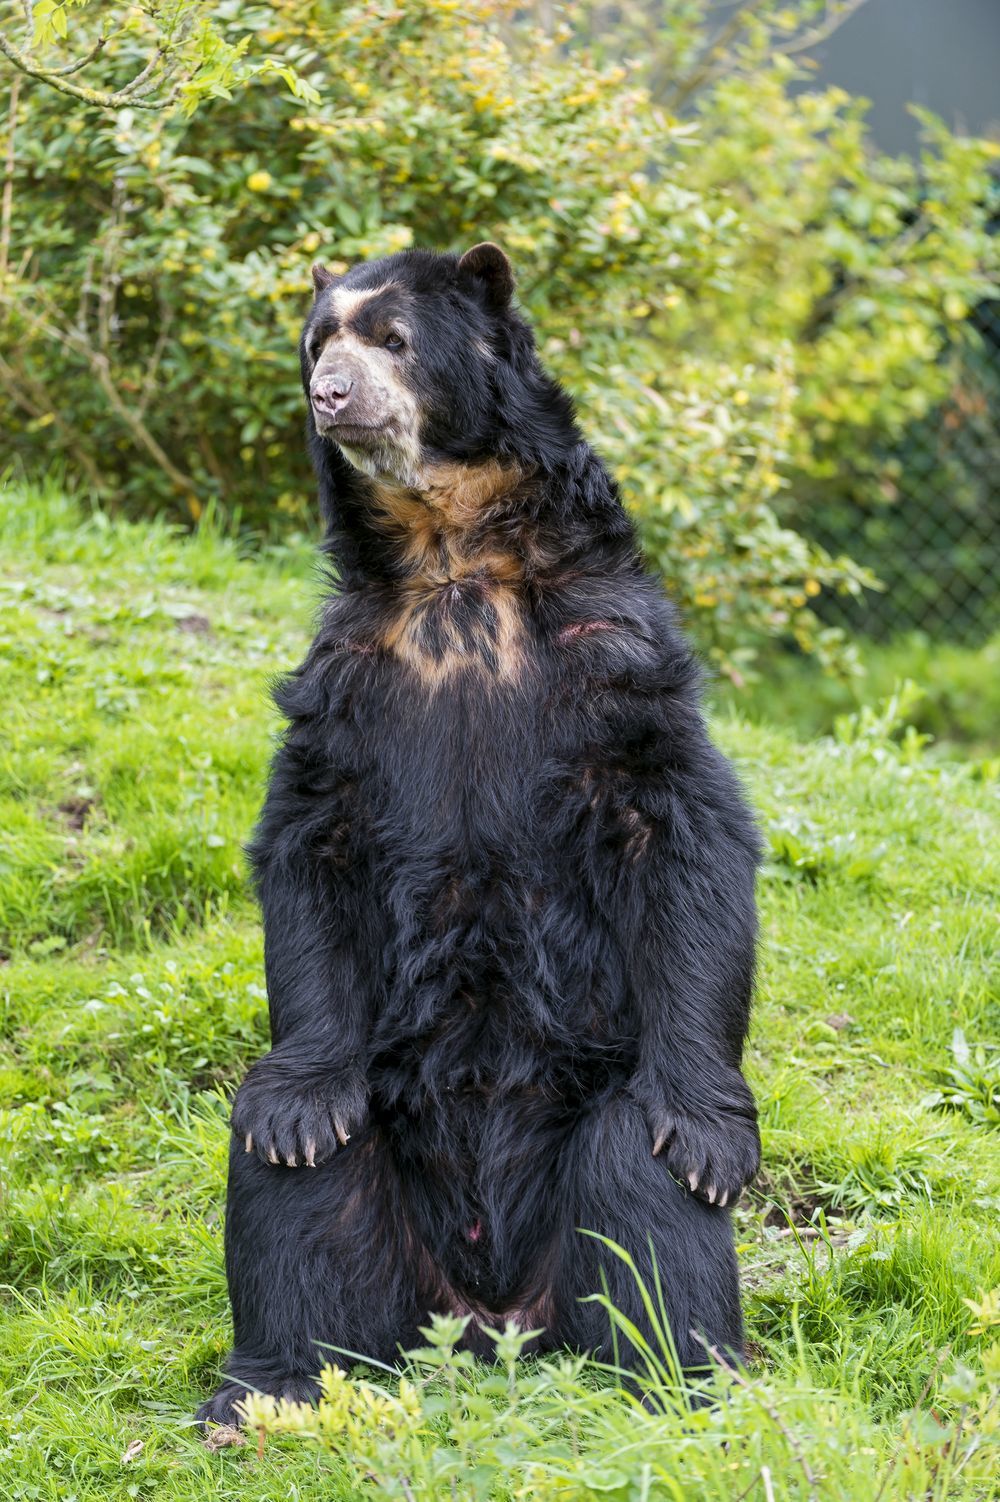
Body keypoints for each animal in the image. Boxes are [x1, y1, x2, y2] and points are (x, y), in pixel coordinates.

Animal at [192, 240, 756, 1423]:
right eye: (318, 342)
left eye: (393, 339)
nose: (331, 396)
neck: (451, 555)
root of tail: (491, 1313)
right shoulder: (349, 678)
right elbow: (309, 841)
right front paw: (300, 1106)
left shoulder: (610, 653)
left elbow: (685, 830)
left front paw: (713, 1137)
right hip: (386, 1143)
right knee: (287, 1189)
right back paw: (265, 1387)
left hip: (594, 1107)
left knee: (640, 1196)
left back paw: (681, 1379)